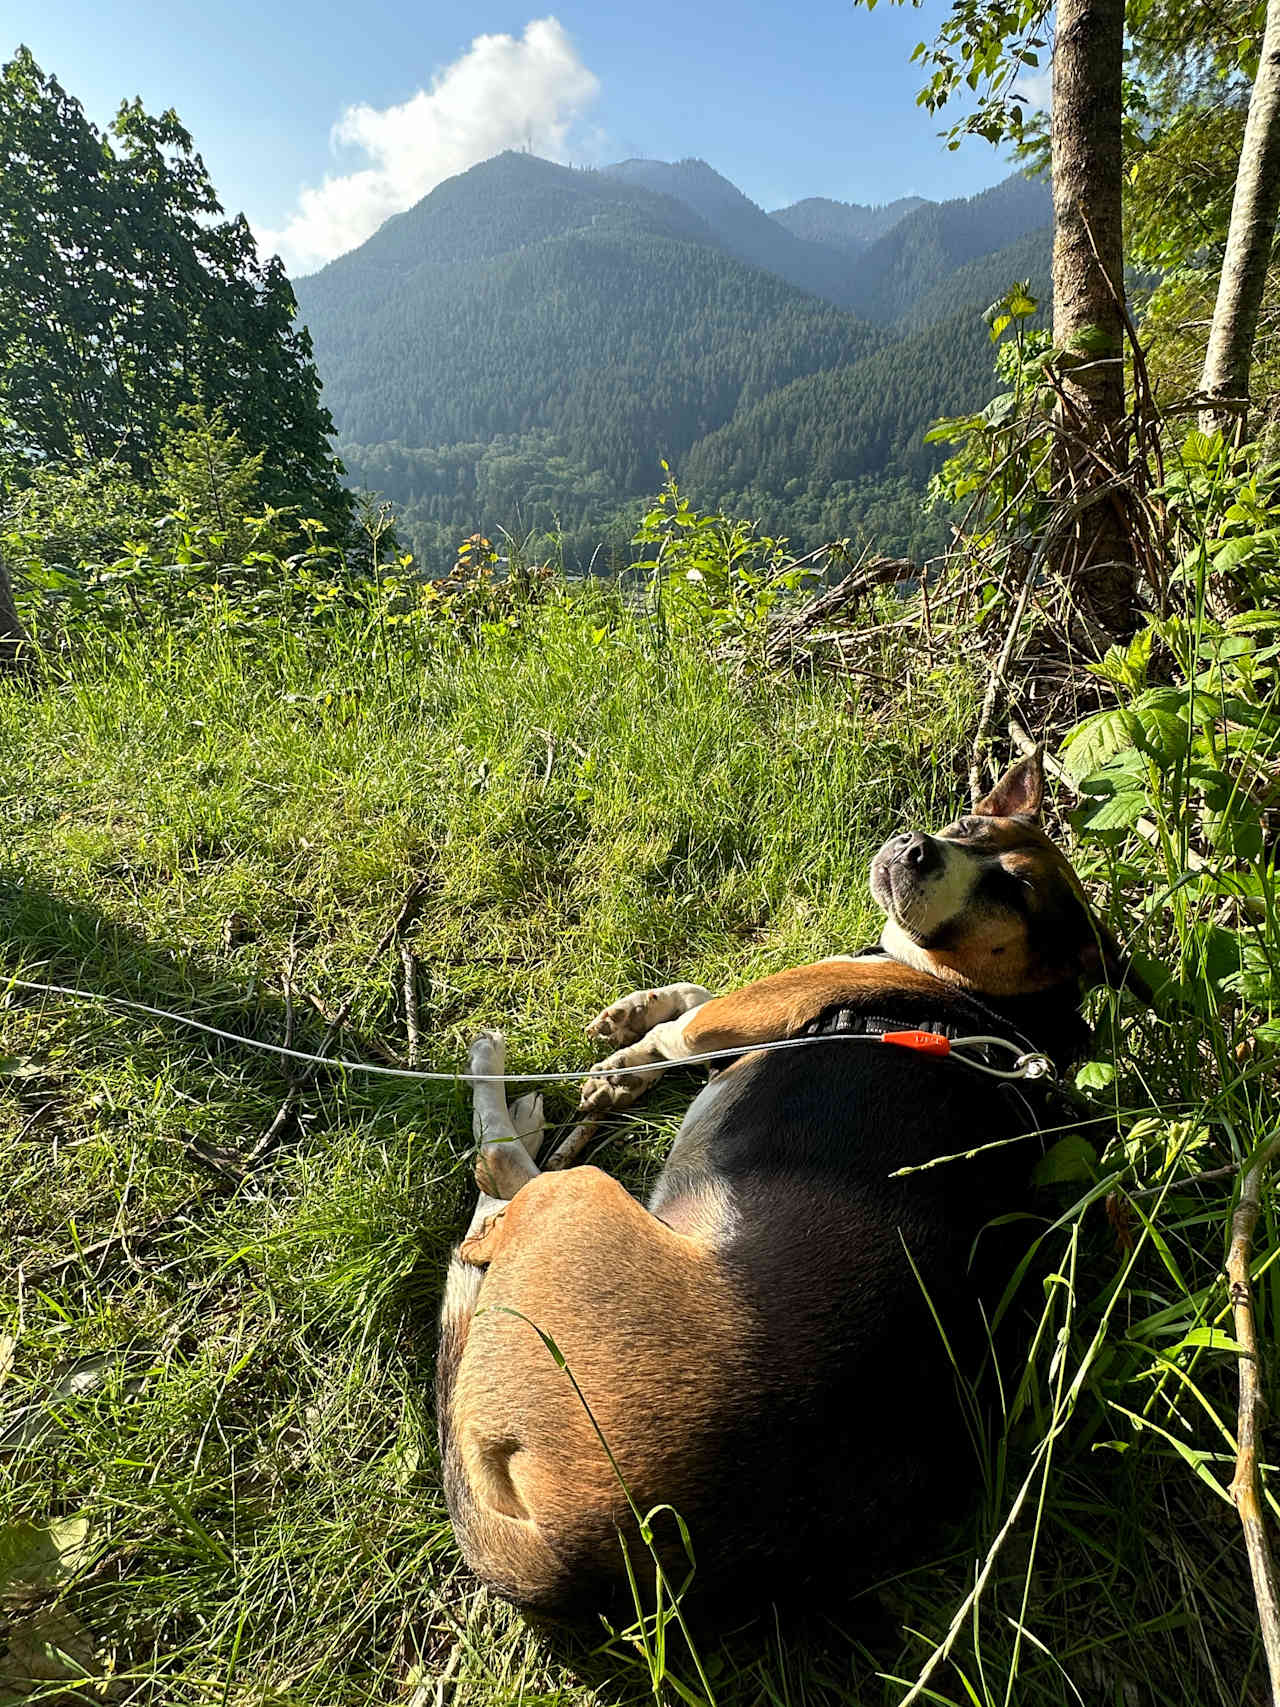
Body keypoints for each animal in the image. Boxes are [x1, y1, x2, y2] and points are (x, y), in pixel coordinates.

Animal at [436, 757, 1146, 1611]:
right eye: (969, 827)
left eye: (1014, 890)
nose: (916, 846)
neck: (993, 1006)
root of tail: (573, 1556)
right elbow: (687, 1004)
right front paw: (633, 1026)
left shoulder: (746, 1015)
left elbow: (684, 1028)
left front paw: (628, 1052)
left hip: (577, 1197)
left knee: (498, 1184)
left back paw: (502, 1096)